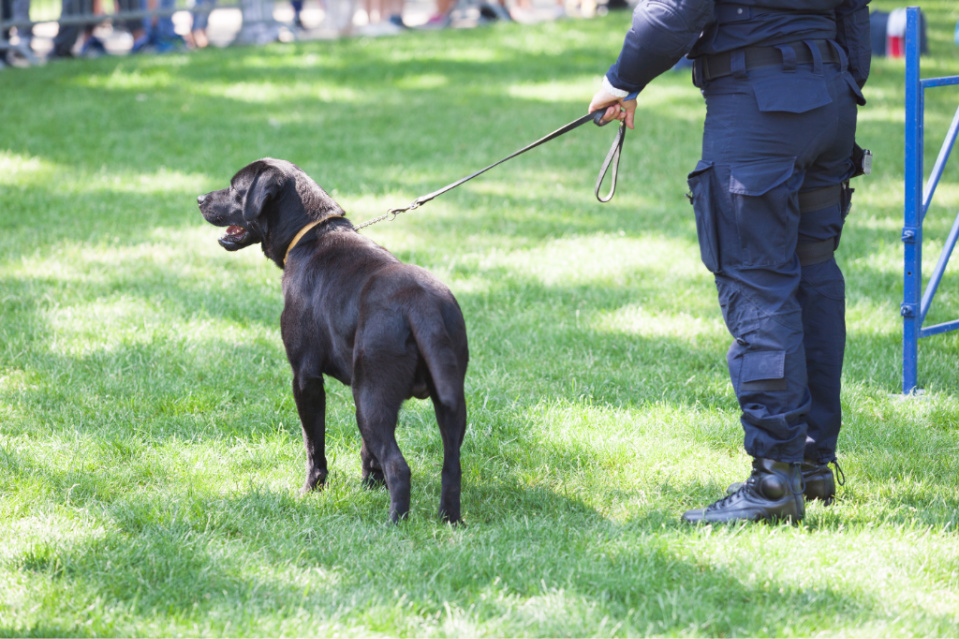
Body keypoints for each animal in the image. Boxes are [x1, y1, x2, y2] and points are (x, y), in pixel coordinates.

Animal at [198, 158, 468, 524]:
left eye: (235, 188)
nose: (199, 199)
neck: (309, 236)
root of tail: (420, 304)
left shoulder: (305, 378)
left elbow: (314, 444)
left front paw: (312, 489)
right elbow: (367, 452)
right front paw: (369, 485)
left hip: (372, 400)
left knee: (399, 466)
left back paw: (394, 523)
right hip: (443, 402)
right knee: (450, 466)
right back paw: (448, 520)